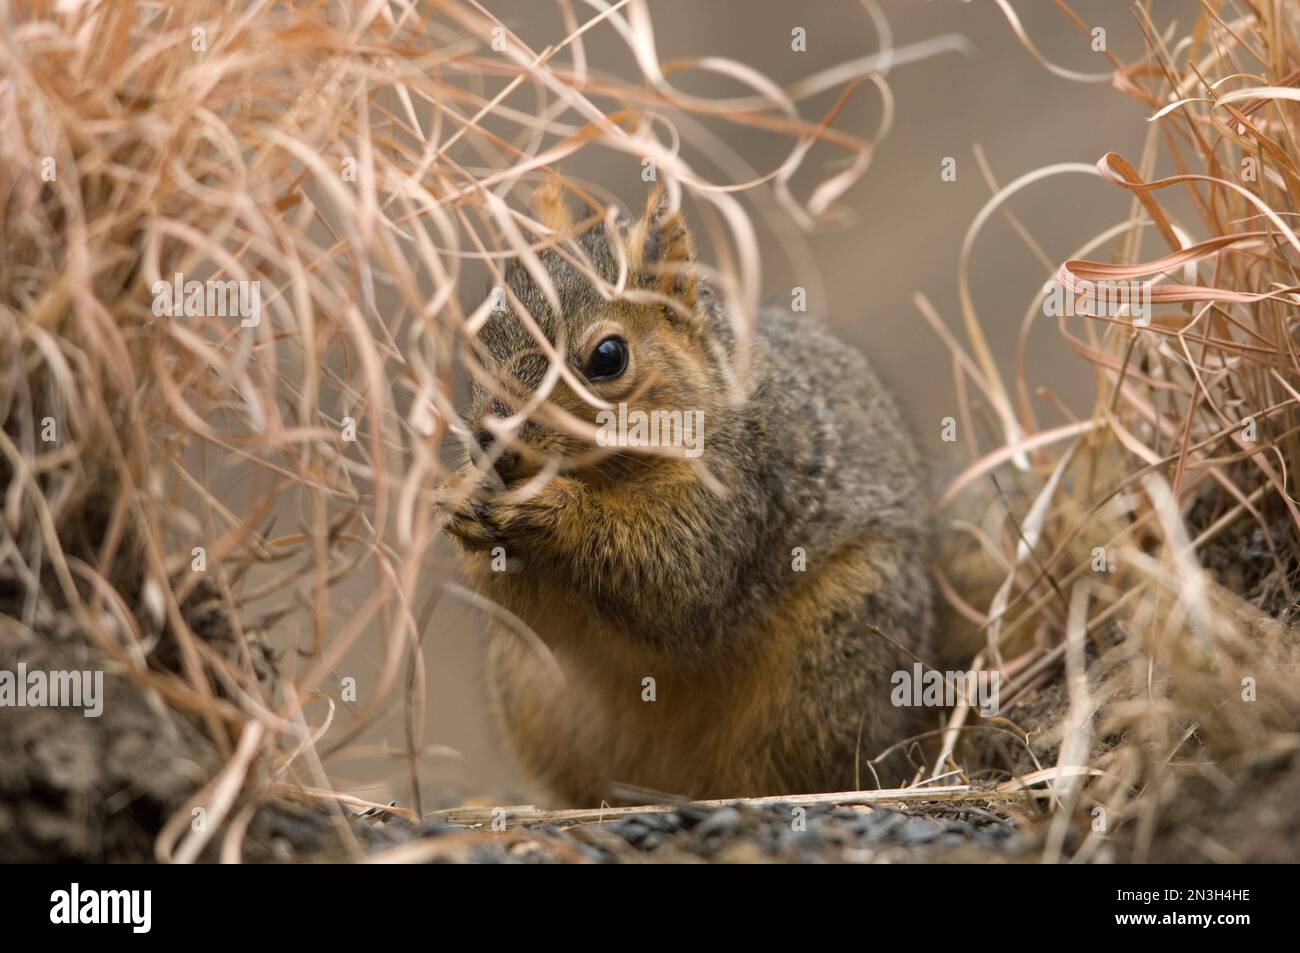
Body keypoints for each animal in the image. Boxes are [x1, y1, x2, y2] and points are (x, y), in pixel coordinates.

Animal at [439, 183, 934, 805]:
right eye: (479, 346)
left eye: (608, 357)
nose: (494, 447)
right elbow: (525, 607)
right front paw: (458, 500)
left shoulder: (743, 485)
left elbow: (680, 578)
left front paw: (550, 506)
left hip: (828, 666)